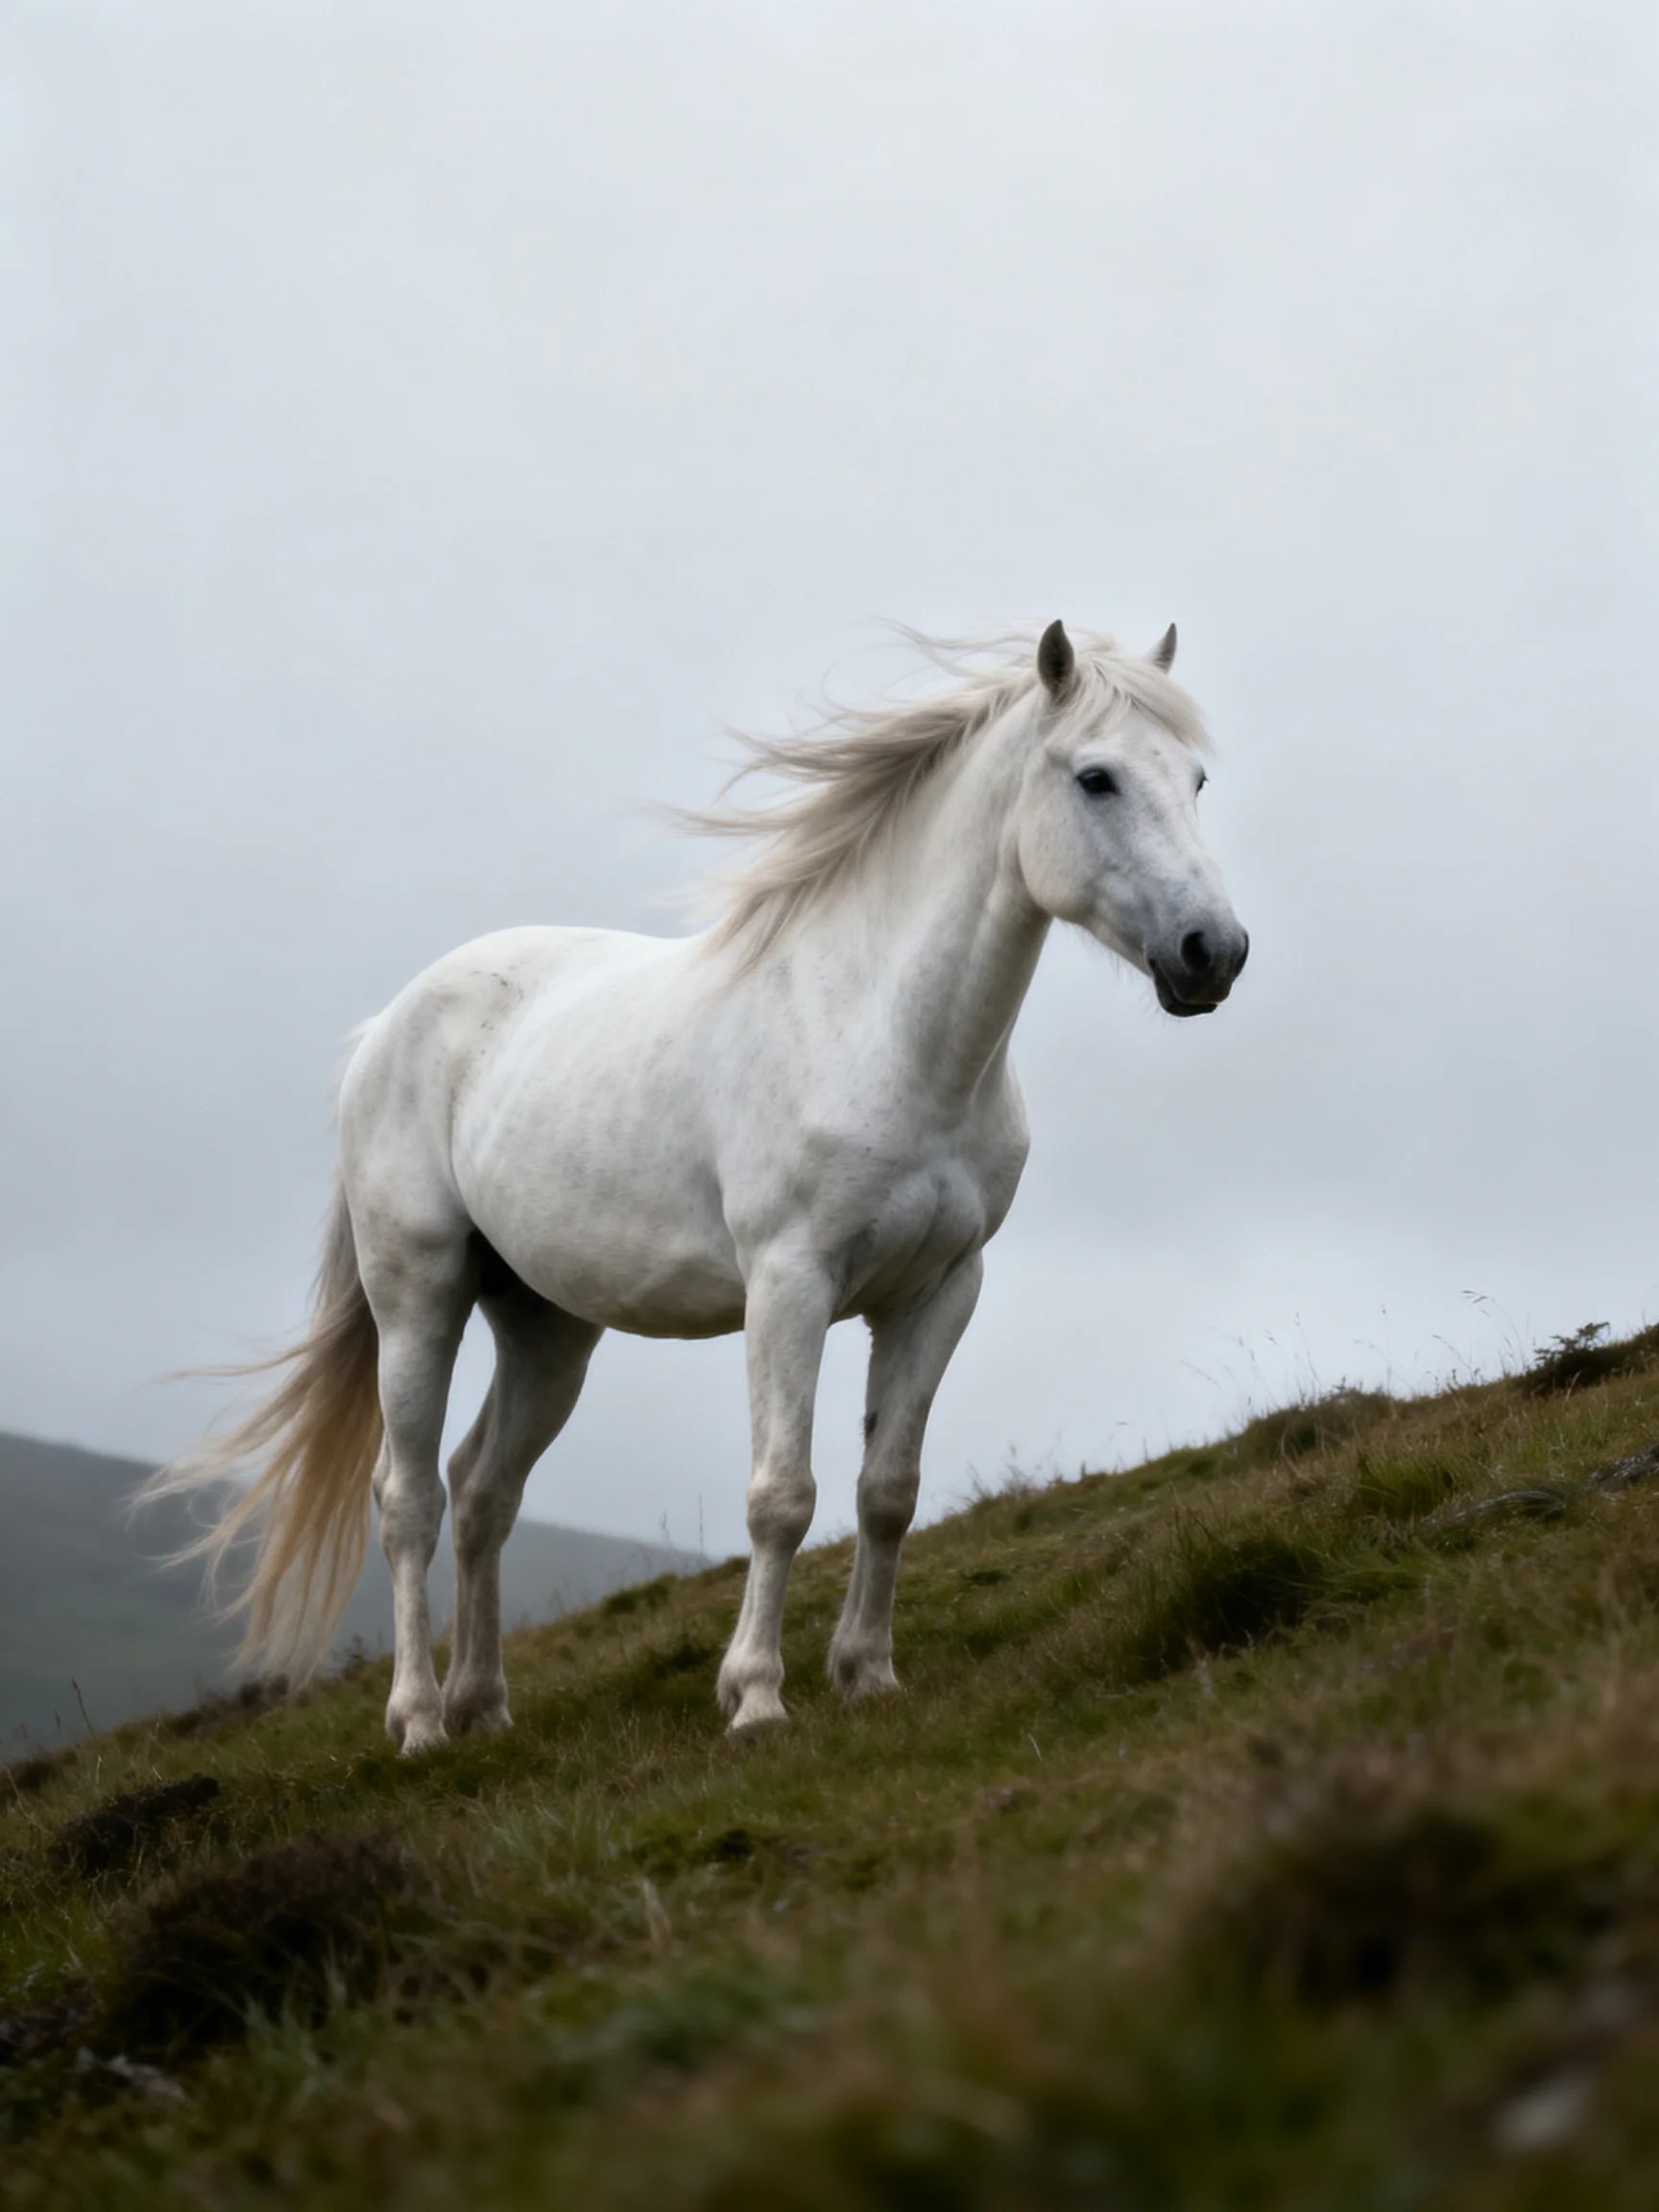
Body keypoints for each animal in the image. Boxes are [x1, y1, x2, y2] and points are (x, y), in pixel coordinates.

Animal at [149, 620, 1248, 1752]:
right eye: (1096, 777)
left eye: (1197, 778)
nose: (1213, 953)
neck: (884, 1034)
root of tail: (388, 1026)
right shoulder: (791, 1284)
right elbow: (783, 1495)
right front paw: (756, 1698)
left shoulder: (941, 1291)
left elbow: (888, 1488)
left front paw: (867, 1675)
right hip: (419, 1298)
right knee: (409, 1497)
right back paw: (419, 1722)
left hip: (546, 1326)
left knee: (484, 1489)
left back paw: (484, 1705)